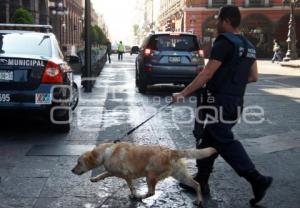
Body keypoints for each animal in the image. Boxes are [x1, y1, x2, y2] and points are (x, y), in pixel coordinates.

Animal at [71, 141, 217, 206]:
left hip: (150, 175)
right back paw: (199, 200)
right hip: (180, 175)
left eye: (78, 162)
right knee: (196, 184)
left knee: (151, 192)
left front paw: (134, 194)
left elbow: (130, 186)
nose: (72, 171)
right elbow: (104, 174)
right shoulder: (114, 172)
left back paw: (141, 196)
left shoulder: (126, 175)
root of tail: (171, 151)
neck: (106, 152)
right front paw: (95, 179)